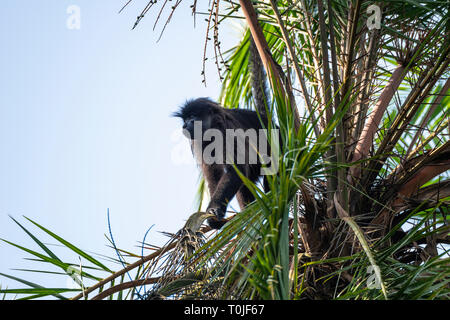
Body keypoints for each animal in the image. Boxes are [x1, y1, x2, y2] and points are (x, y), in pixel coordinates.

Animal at [172, 98, 272, 230]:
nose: (184, 125)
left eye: (191, 116)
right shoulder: (202, 142)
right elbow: (213, 172)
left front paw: (214, 209)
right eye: (185, 119)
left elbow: (236, 170)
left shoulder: (226, 131)